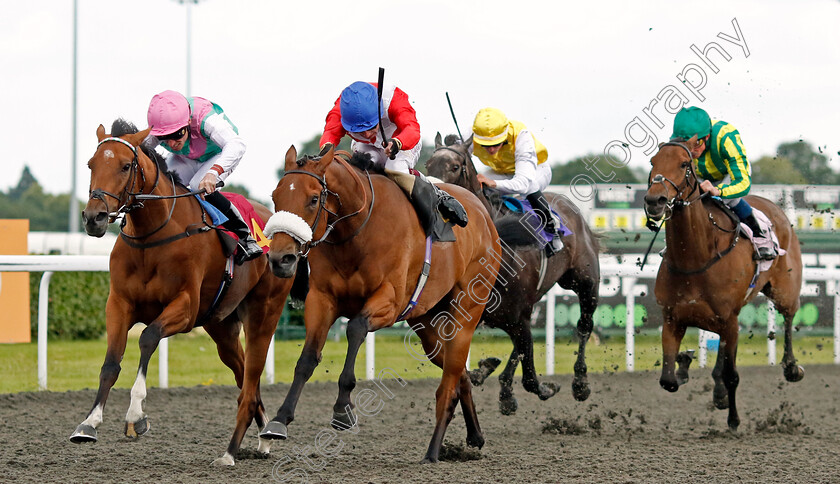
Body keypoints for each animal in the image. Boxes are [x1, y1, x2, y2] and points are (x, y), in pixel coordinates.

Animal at [73, 120, 296, 466]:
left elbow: (148, 337)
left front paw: (136, 414)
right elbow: (110, 362)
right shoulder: (118, 304)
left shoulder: (185, 307)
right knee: (245, 374)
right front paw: (89, 422)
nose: (93, 217)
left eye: (125, 166)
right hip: (221, 327)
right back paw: (262, 438)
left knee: (252, 375)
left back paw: (242, 445)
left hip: (265, 313)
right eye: (90, 165)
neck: (151, 237)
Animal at [260, 144, 502, 462]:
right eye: (276, 196)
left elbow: (355, 328)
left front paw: (343, 408)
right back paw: (474, 435)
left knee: (449, 382)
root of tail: (483, 215)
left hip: (466, 312)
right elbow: (308, 358)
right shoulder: (321, 300)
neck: (356, 232)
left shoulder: (389, 300)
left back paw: (433, 451)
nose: (281, 259)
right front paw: (279, 419)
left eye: (313, 199)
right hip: (429, 326)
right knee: (459, 370)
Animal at [426, 132, 604, 412]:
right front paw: (485, 371)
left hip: (586, 283)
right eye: (427, 165)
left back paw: (580, 382)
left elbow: (530, 376)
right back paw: (505, 388)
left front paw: (546, 387)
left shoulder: (518, 315)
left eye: (454, 167)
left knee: (584, 325)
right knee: (520, 345)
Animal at [644, 138, 808, 430]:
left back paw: (791, 368)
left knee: (789, 317)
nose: (655, 199)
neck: (695, 258)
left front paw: (733, 419)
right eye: (653, 161)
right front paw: (684, 363)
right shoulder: (673, 318)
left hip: (784, 290)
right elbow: (668, 379)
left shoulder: (730, 320)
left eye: (684, 164)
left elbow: (732, 375)